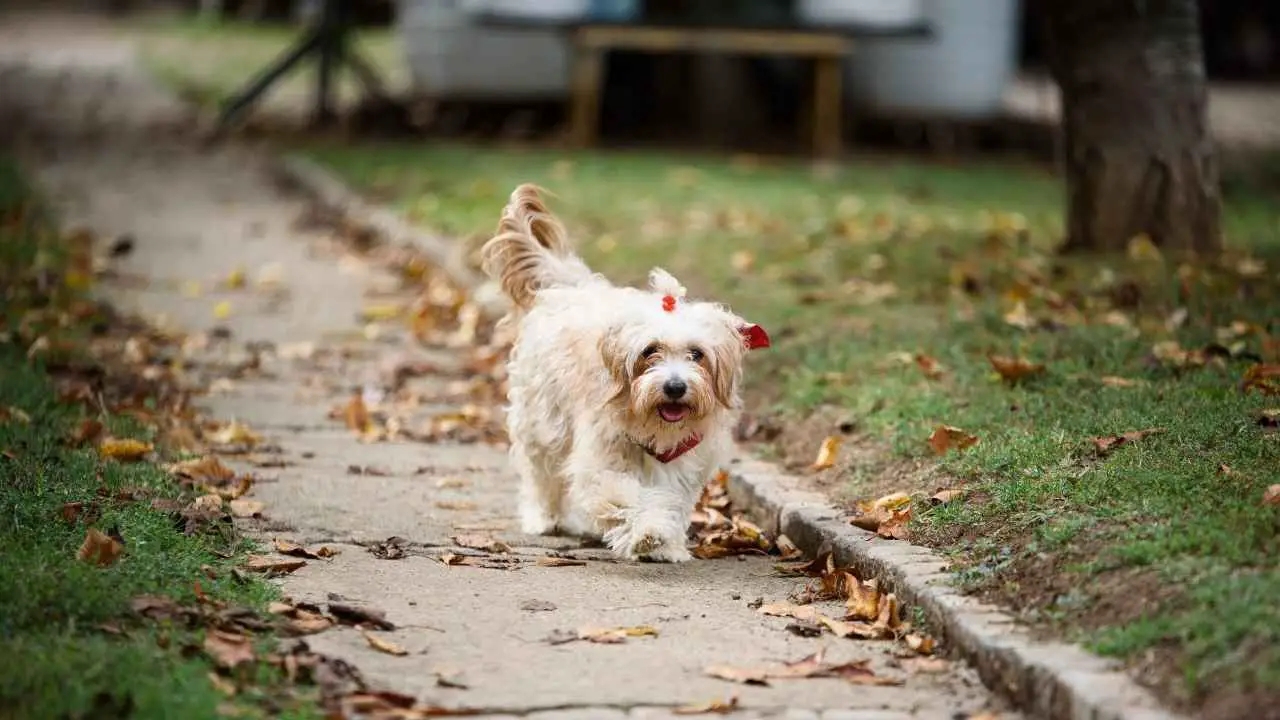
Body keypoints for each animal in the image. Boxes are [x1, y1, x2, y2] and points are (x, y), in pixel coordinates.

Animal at [481, 183, 768, 561]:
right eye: (650, 351)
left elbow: (669, 501)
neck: (651, 425)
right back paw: (546, 517)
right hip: (544, 423)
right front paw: (647, 532)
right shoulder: (602, 460)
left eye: (697, 354)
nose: (675, 387)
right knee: (542, 474)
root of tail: (566, 287)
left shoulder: (679, 465)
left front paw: (666, 542)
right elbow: (625, 496)